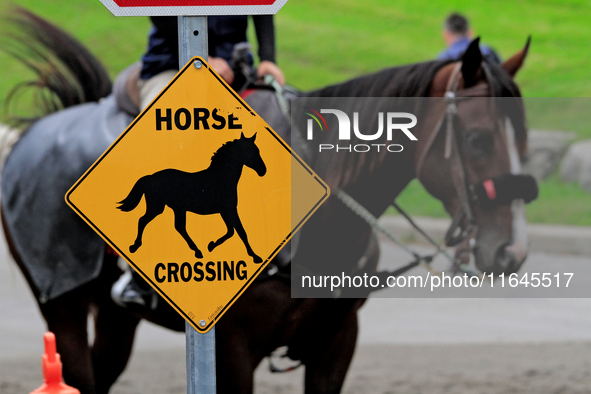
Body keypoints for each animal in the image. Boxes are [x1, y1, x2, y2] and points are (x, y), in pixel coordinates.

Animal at [119, 133, 268, 264]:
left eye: (258, 150)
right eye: (250, 151)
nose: (263, 170)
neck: (221, 178)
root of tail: (150, 177)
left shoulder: (226, 210)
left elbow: (233, 231)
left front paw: (211, 245)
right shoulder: (229, 209)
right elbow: (240, 232)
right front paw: (255, 257)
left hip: (177, 209)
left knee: (179, 227)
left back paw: (197, 251)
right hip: (157, 208)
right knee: (143, 220)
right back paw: (134, 246)